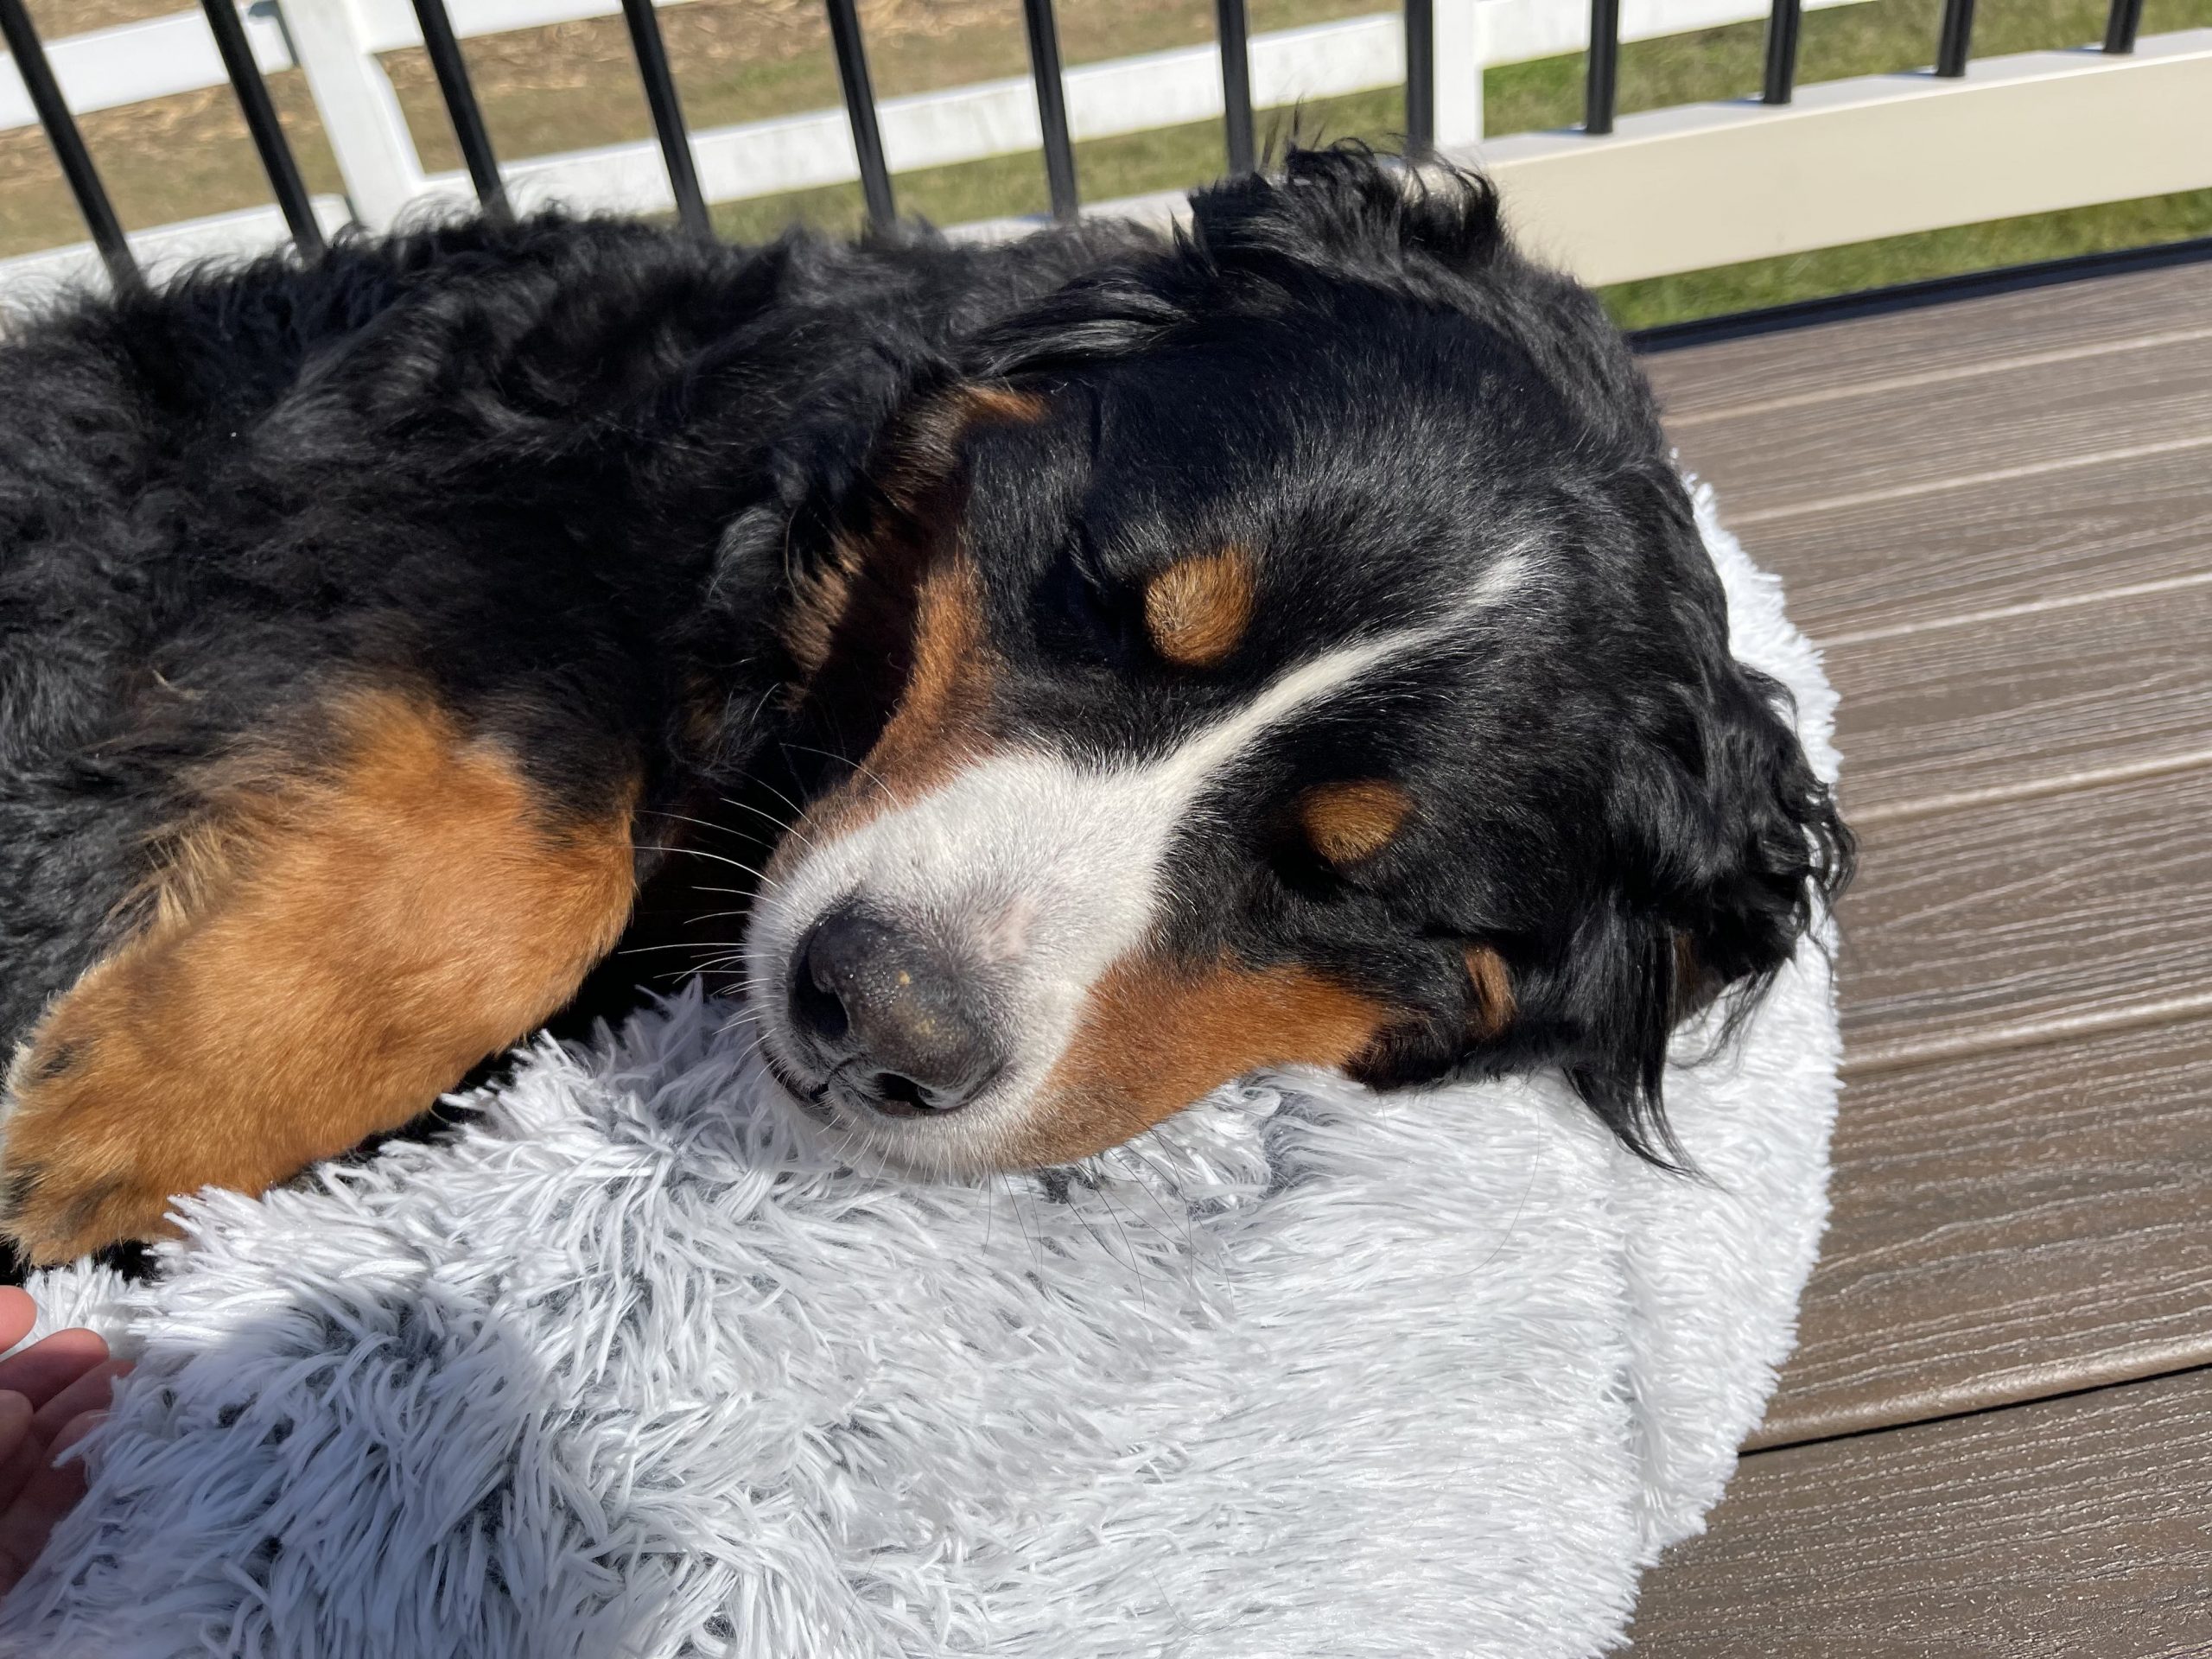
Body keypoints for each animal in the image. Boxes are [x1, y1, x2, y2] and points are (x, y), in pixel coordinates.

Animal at [0, 149, 1849, 1265]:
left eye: (1344, 879)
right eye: (1100, 591)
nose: (876, 1014)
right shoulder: (436, 513)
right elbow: (521, 872)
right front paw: (131, 1115)